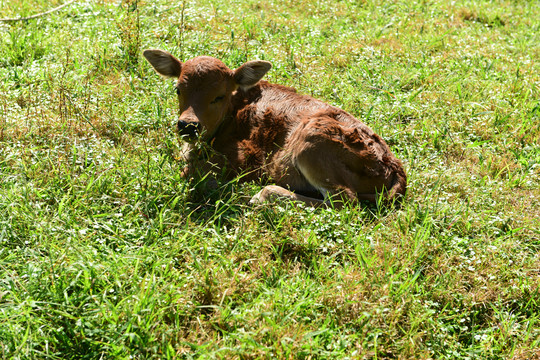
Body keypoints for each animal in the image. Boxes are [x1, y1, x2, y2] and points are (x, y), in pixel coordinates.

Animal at [142, 51, 404, 208]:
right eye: (178, 89)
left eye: (219, 96)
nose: (188, 125)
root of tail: (393, 167)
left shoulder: (246, 159)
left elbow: (190, 171)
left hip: (312, 144)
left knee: (344, 201)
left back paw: (260, 194)